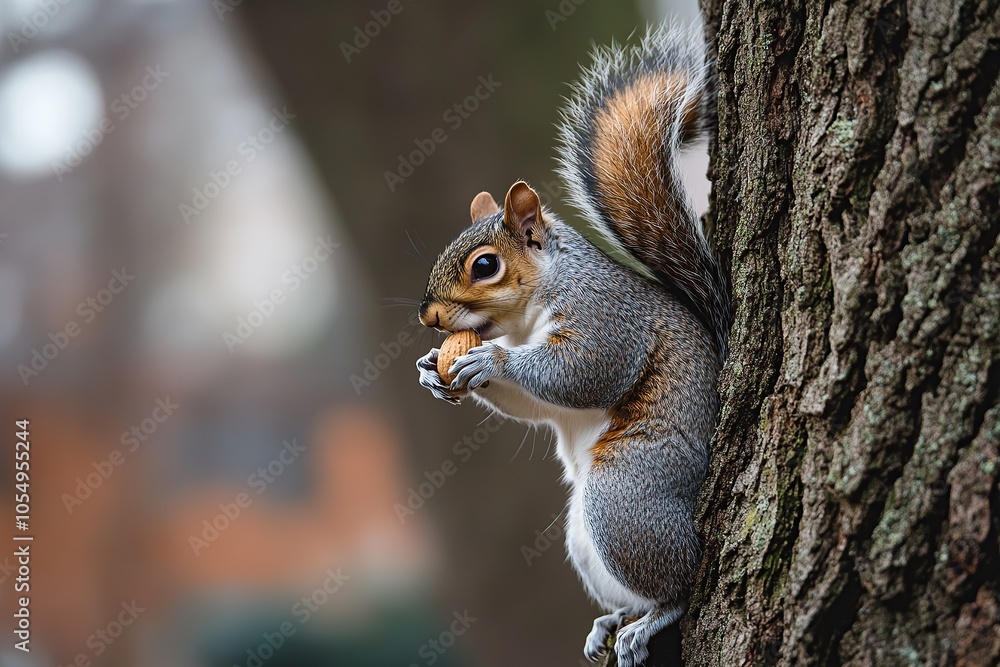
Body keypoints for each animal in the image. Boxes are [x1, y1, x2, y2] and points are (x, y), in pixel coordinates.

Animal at [415, 23, 728, 667]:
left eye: (485, 265)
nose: (428, 318)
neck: (525, 320)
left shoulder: (606, 316)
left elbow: (584, 372)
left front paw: (489, 359)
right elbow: (536, 404)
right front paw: (433, 369)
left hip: (624, 499)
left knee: (680, 585)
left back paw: (649, 621)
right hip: (583, 538)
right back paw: (610, 622)